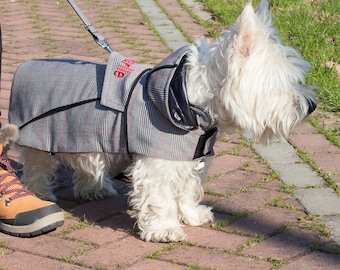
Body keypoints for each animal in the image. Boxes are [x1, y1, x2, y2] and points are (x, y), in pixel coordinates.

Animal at [7, 0, 316, 242]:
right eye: (281, 81)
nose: (311, 106)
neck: (186, 100)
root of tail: (27, 65)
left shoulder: (191, 158)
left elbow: (188, 189)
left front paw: (192, 215)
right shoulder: (156, 163)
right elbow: (161, 197)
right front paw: (165, 229)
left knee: (86, 162)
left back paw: (94, 188)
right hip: (39, 139)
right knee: (36, 168)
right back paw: (38, 197)